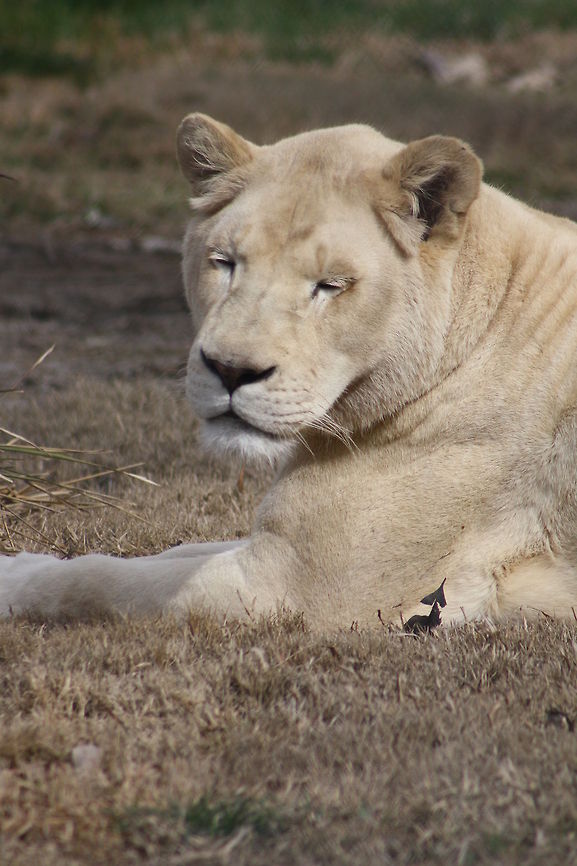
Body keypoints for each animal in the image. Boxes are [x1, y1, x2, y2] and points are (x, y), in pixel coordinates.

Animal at [2, 113, 577, 629]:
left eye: (330, 285)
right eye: (224, 262)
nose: (231, 371)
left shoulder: (303, 585)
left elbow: (102, 581)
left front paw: (14, 577)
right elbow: (175, 550)